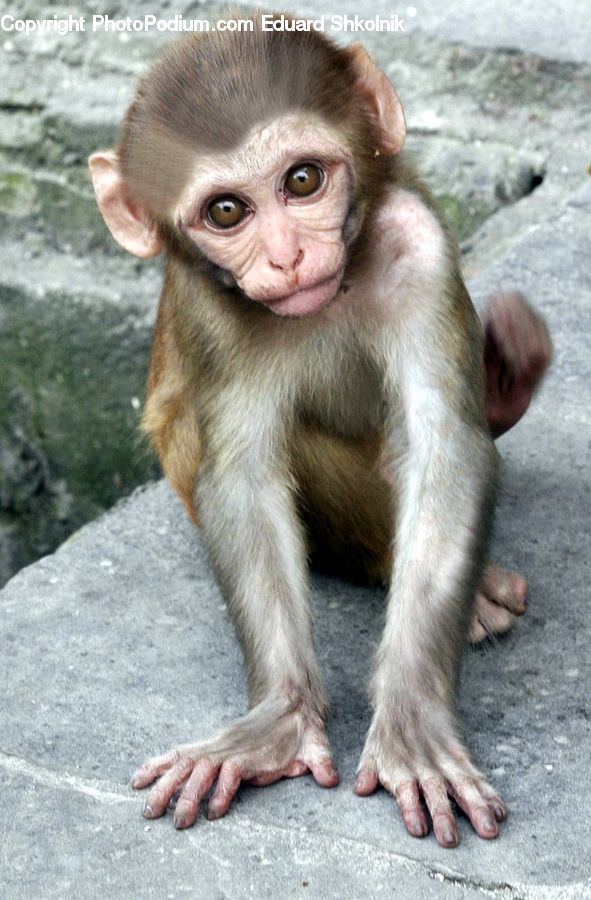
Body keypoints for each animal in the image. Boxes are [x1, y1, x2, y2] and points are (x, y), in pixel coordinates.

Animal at [89, 16, 552, 848]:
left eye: (301, 180)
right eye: (226, 212)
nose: (287, 257)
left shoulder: (419, 246)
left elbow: (443, 449)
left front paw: (410, 722)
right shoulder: (208, 305)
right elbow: (241, 475)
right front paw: (277, 719)